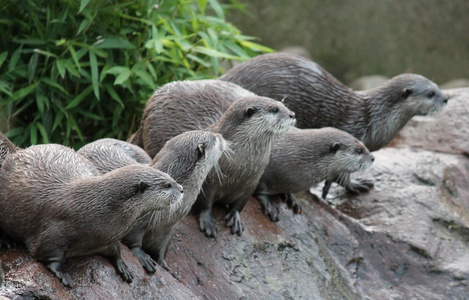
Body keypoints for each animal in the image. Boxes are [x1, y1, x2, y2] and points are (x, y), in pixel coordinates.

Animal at [0, 144, 183, 288]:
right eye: (167, 185)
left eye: (171, 177)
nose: (181, 189)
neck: (94, 208)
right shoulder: (55, 229)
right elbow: (47, 252)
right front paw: (62, 274)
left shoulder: (105, 237)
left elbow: (115, 248)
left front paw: (122, 264)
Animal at [78, 130, 225, 270]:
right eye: (214, 138)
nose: (221, 136)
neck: (171, 212)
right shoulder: (135, 223)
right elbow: (133, 240)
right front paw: (142, 256)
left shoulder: (169, 228)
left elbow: (162, 248)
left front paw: (163, 264)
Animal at [130, 79, 294, 237]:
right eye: (274, 109)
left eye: (283, 104)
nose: (292, 114)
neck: (240, 165)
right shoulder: (210, 179)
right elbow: (205, 202)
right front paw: (207, 222)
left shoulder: (253, 180)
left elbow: (240, 203)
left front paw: (235, 217)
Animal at [221, 52, 448, 195]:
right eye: (430, 93)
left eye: (437, 86)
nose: (446, 98)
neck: (373, 119)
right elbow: (341, 171)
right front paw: (355, 185)